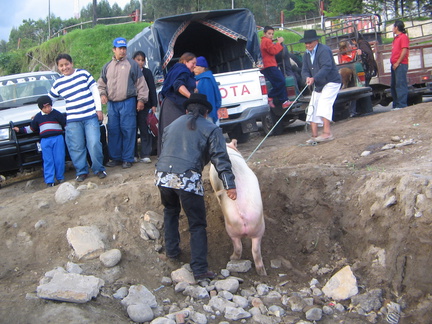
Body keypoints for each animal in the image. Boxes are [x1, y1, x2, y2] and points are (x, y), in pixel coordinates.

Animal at [209, 139, 266, 276]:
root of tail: (243, 216)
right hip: (259, 229)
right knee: (256, 251)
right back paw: (262, 272)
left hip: (231, 229)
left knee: (239, 247)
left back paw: (232, 258)